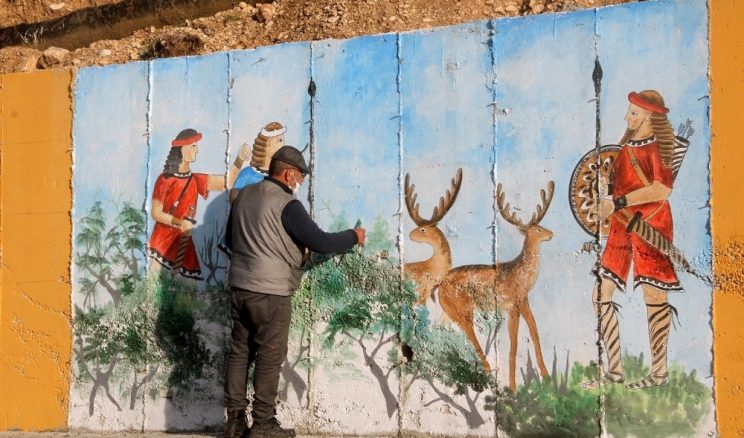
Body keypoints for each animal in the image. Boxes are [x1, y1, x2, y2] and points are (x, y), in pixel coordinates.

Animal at [436, 180, 552, 392]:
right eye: (537, 229)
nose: (551, 234)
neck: (519, 275)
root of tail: (439, 284)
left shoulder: (524, 301)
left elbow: (535, 333)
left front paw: (548, 378)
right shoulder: (512, 306)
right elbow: (514, 344)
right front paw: (513, 387)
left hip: (447, 311)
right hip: (464, 311)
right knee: (472, 339)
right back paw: (490, 376)